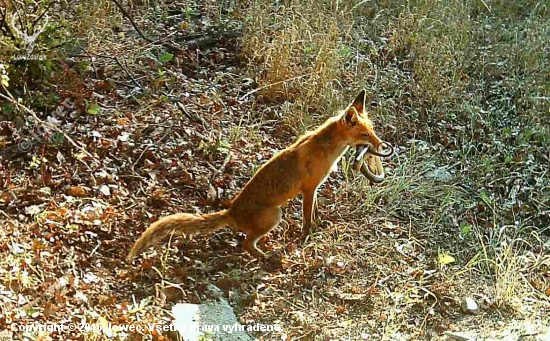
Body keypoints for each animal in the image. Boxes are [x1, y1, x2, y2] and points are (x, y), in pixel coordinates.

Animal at [128, 89, 388, 258]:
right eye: (365, 135)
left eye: (373, 131)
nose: (382, 145)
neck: (327, 149)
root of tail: (231, 212)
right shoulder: (309, 188)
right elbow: (306, 218)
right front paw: (306, 237)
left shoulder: (314, 189)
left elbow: (315, 212)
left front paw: (318, 226)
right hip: (275, 215)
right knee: (246, 243)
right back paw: (266, 259)